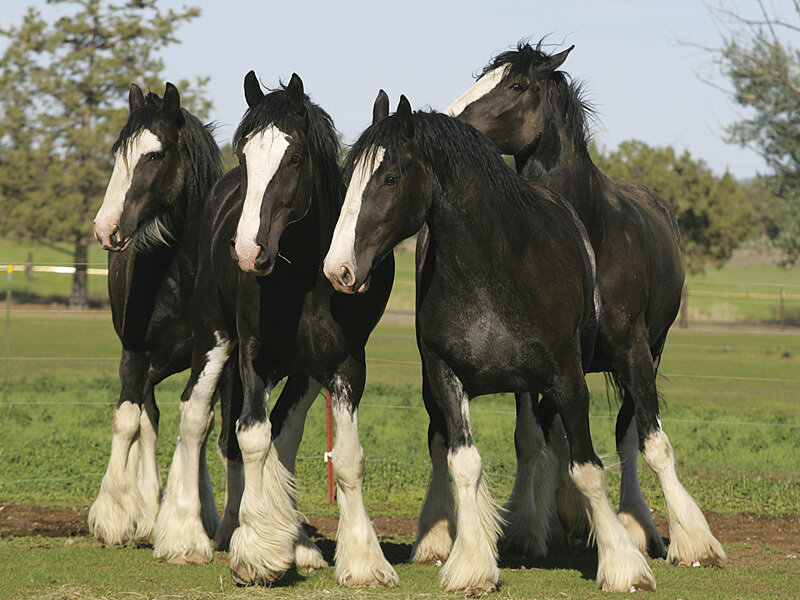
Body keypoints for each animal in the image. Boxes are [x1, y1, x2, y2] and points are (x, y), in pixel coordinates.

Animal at [89, 83, 224, 552]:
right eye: (118, 154)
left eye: (154, 156)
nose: (105, 228)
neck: (181, 271)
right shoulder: (134, 354)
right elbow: (128, 421)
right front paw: (113, 513)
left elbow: (203, 426)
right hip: (149, 365)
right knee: (146, 420)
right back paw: (145, 512)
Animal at [170, 71, 398, 587]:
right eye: (243, 154)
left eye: (294, 157)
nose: (247, 250)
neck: (307, 278)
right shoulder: (254, 353)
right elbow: (252, 436)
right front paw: (256, 553)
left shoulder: (344, 365)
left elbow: (344, 457)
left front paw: (362, 560)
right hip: (215, 340)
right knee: (197, 416)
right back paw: (186, 536)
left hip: (303, 372)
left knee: (283, 435)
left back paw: (288, 541)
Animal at [324, 95, 657, 593]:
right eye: (348, 178)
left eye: (390, 177)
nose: (338, 268)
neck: (494, 270)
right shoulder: (445, 377)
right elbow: (463, 462)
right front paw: (472, 564)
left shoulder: (567, 379)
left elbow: (586, 467)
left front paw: (623, 564)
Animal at [446, 41, 725, 567]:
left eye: (517, 85)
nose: (451, 122)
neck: (586, 232)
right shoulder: (539, 362)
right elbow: (532, 439)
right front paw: (530, 527)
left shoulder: (635, 354)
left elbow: (652, 442)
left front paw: (692, 540)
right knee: (556, 435)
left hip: (650, 353)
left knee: (628, 433)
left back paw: (638, 526)